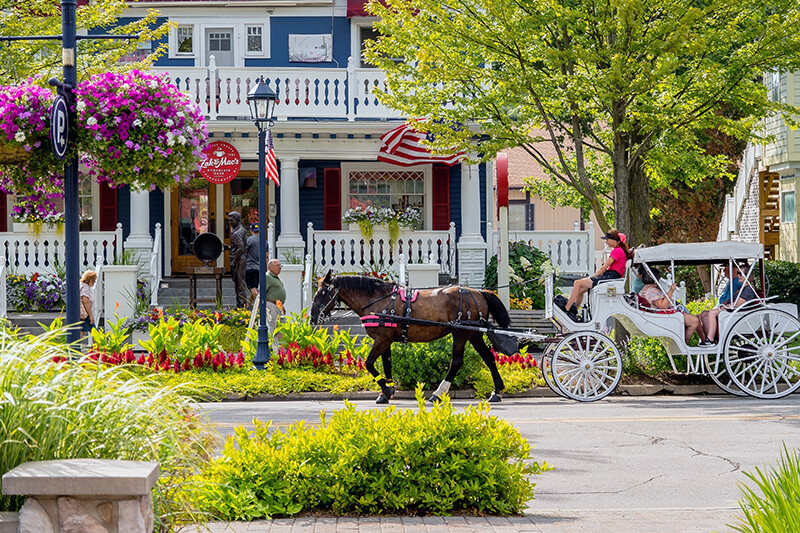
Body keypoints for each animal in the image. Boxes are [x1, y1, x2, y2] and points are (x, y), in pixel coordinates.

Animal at [310, 272, 516, 402]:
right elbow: (387, 364)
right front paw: (387, 391)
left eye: (323, 292)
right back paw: (497, 391)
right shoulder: (386, 340)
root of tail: (479, 292)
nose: (312, 318)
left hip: (460, 334)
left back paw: (438, 393)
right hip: (473, 334)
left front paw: (386, 390)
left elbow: (369, 363)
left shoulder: (381, 340)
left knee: (456, 362)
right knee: (488, 357)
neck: (377, 300)